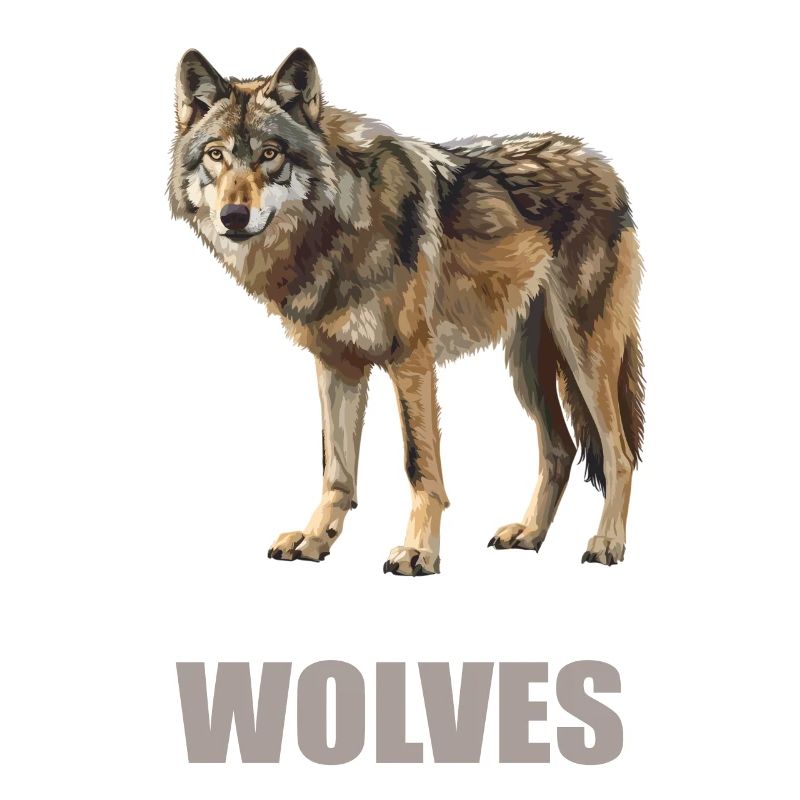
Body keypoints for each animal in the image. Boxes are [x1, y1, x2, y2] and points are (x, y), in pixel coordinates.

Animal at [169, 48, 644, 575]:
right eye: (216, 155)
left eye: (270, 154)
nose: (233, 217)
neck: (339, 227)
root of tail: (602, 164)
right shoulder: (337, 365)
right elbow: (336, 469)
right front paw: (316, 539)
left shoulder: (411, 360)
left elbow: (419, 465)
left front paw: (420, 551)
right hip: (527, 367)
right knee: (560, 449)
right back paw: (529, 534)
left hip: (584, 354)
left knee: (620, 453)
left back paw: (607, 543)